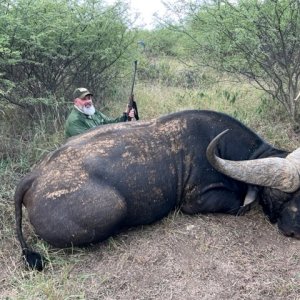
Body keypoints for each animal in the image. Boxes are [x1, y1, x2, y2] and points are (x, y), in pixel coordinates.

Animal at [14, 109, 300, 270]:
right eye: (279, 195)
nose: (295, 231)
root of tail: (33, 176)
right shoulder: (196, 202)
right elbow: (240, 205)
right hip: (114, 207)